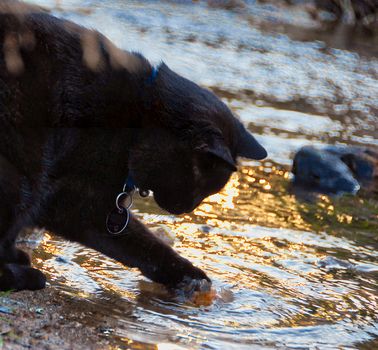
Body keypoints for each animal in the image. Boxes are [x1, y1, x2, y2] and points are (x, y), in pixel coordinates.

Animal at [0, 2, 268, 292]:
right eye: (199, 185)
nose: (187, 209)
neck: (138, 118)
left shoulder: (83, 207)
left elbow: (141, 247)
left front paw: (188, 277)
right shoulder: (74, 196)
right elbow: (145, 242)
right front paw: (192, 276)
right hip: (24, 174)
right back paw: (27, 276)